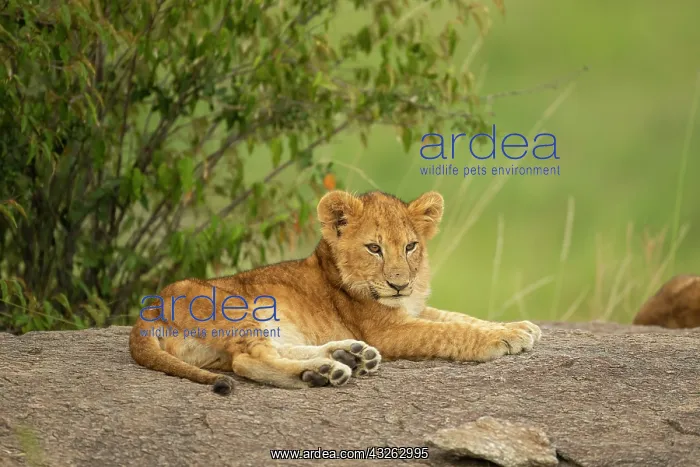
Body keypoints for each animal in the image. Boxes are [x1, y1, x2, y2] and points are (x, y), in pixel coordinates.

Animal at [129, 190, 542, 395]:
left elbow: (458, 317)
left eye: (410, 246)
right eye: (374, 248)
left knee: (263, 351)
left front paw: (520, 327)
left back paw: (346, 357)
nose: (399, 283)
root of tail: (149, 310)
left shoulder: (410, 310)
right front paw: (503, 339)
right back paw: (324, 373)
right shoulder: (388, 330)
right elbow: (450, 331)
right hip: (232, 310)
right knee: (248, 360)